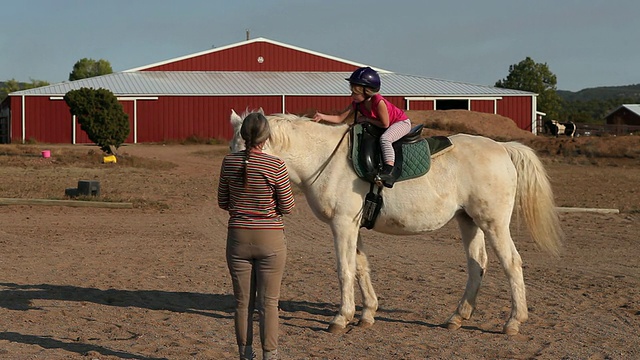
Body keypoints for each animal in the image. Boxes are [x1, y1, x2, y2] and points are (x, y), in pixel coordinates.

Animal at [228, 109, 564, 334]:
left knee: (511, 263)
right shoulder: (353, 226)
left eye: (247, 147)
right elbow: (361, 267)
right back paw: (457, 317)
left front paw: (341, 317)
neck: (324, 158)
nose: (232, 184)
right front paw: (366, 314)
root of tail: (502, 147)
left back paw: (513, 321)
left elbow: (344, 269)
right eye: (234, 146)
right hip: (469, 221)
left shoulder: (342, 225)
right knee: (476, 265)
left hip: (493, 223)